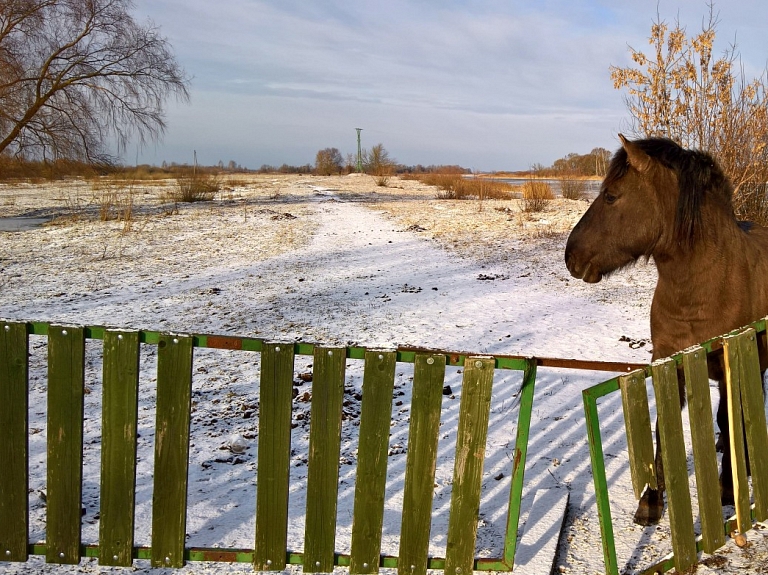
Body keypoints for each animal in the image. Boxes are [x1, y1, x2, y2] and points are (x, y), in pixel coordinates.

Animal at [560, 135, 768, 528]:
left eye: (611, 196)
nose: (570, 257)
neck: (703, 291)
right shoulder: (668, 363)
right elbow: (662, 428)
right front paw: (651, 502)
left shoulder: (730, 360)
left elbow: (729, 415)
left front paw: (726, 488)